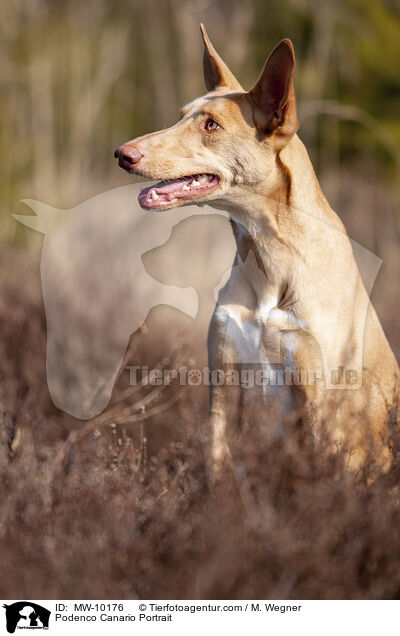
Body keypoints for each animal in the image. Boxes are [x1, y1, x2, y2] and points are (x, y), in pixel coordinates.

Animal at [115, 24, 396, 476]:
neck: (270, 259)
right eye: (180, 116)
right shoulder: (222, 386)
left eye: (211, 125)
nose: (122, 154)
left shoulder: (319, 403)